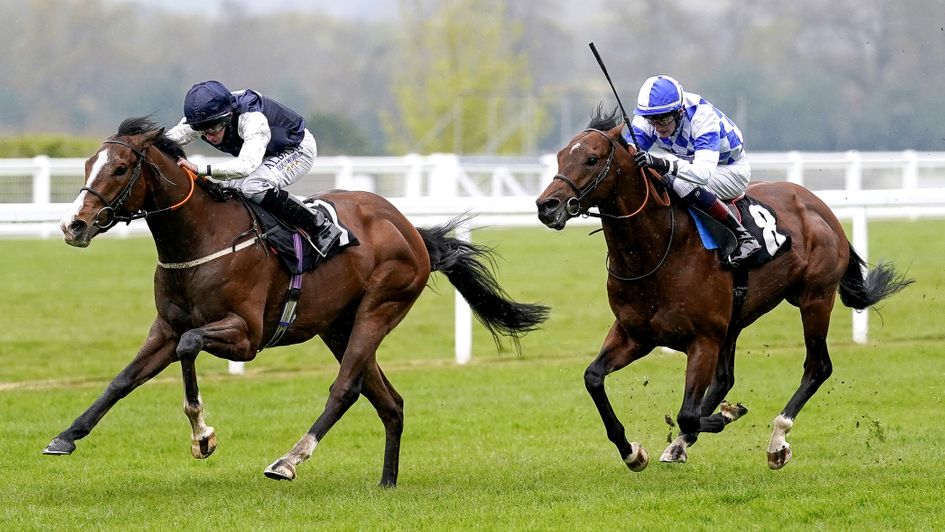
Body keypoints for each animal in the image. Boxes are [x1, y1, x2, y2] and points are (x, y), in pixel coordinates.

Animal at [46, 116, 544, 486]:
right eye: (87, 164)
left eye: (119, 169)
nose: (73, 225)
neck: (202, 238)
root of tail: (409, 229)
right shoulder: (165, 329)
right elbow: (123, 379)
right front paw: (66, 436)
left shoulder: (245, 336)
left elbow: (190, 346)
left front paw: (203, 436)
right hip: (338, 326)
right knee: (389, 401)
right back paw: (387, 482)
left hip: (380, 308)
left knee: (345, 389)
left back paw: (288, 460)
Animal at [536, 107, 912, 470]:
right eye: (560, 156)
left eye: (591, 159)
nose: (546, 206)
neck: (657, 250)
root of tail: (820, 207)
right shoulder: (636, 334)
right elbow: (593, 378)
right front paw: (633, 452)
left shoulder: (702, 339)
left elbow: (688, 415)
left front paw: (723, 417)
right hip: (734, 321)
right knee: (725, 379)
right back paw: (682, 444)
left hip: (815, 298)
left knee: (818, 367)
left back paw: (777, 441)